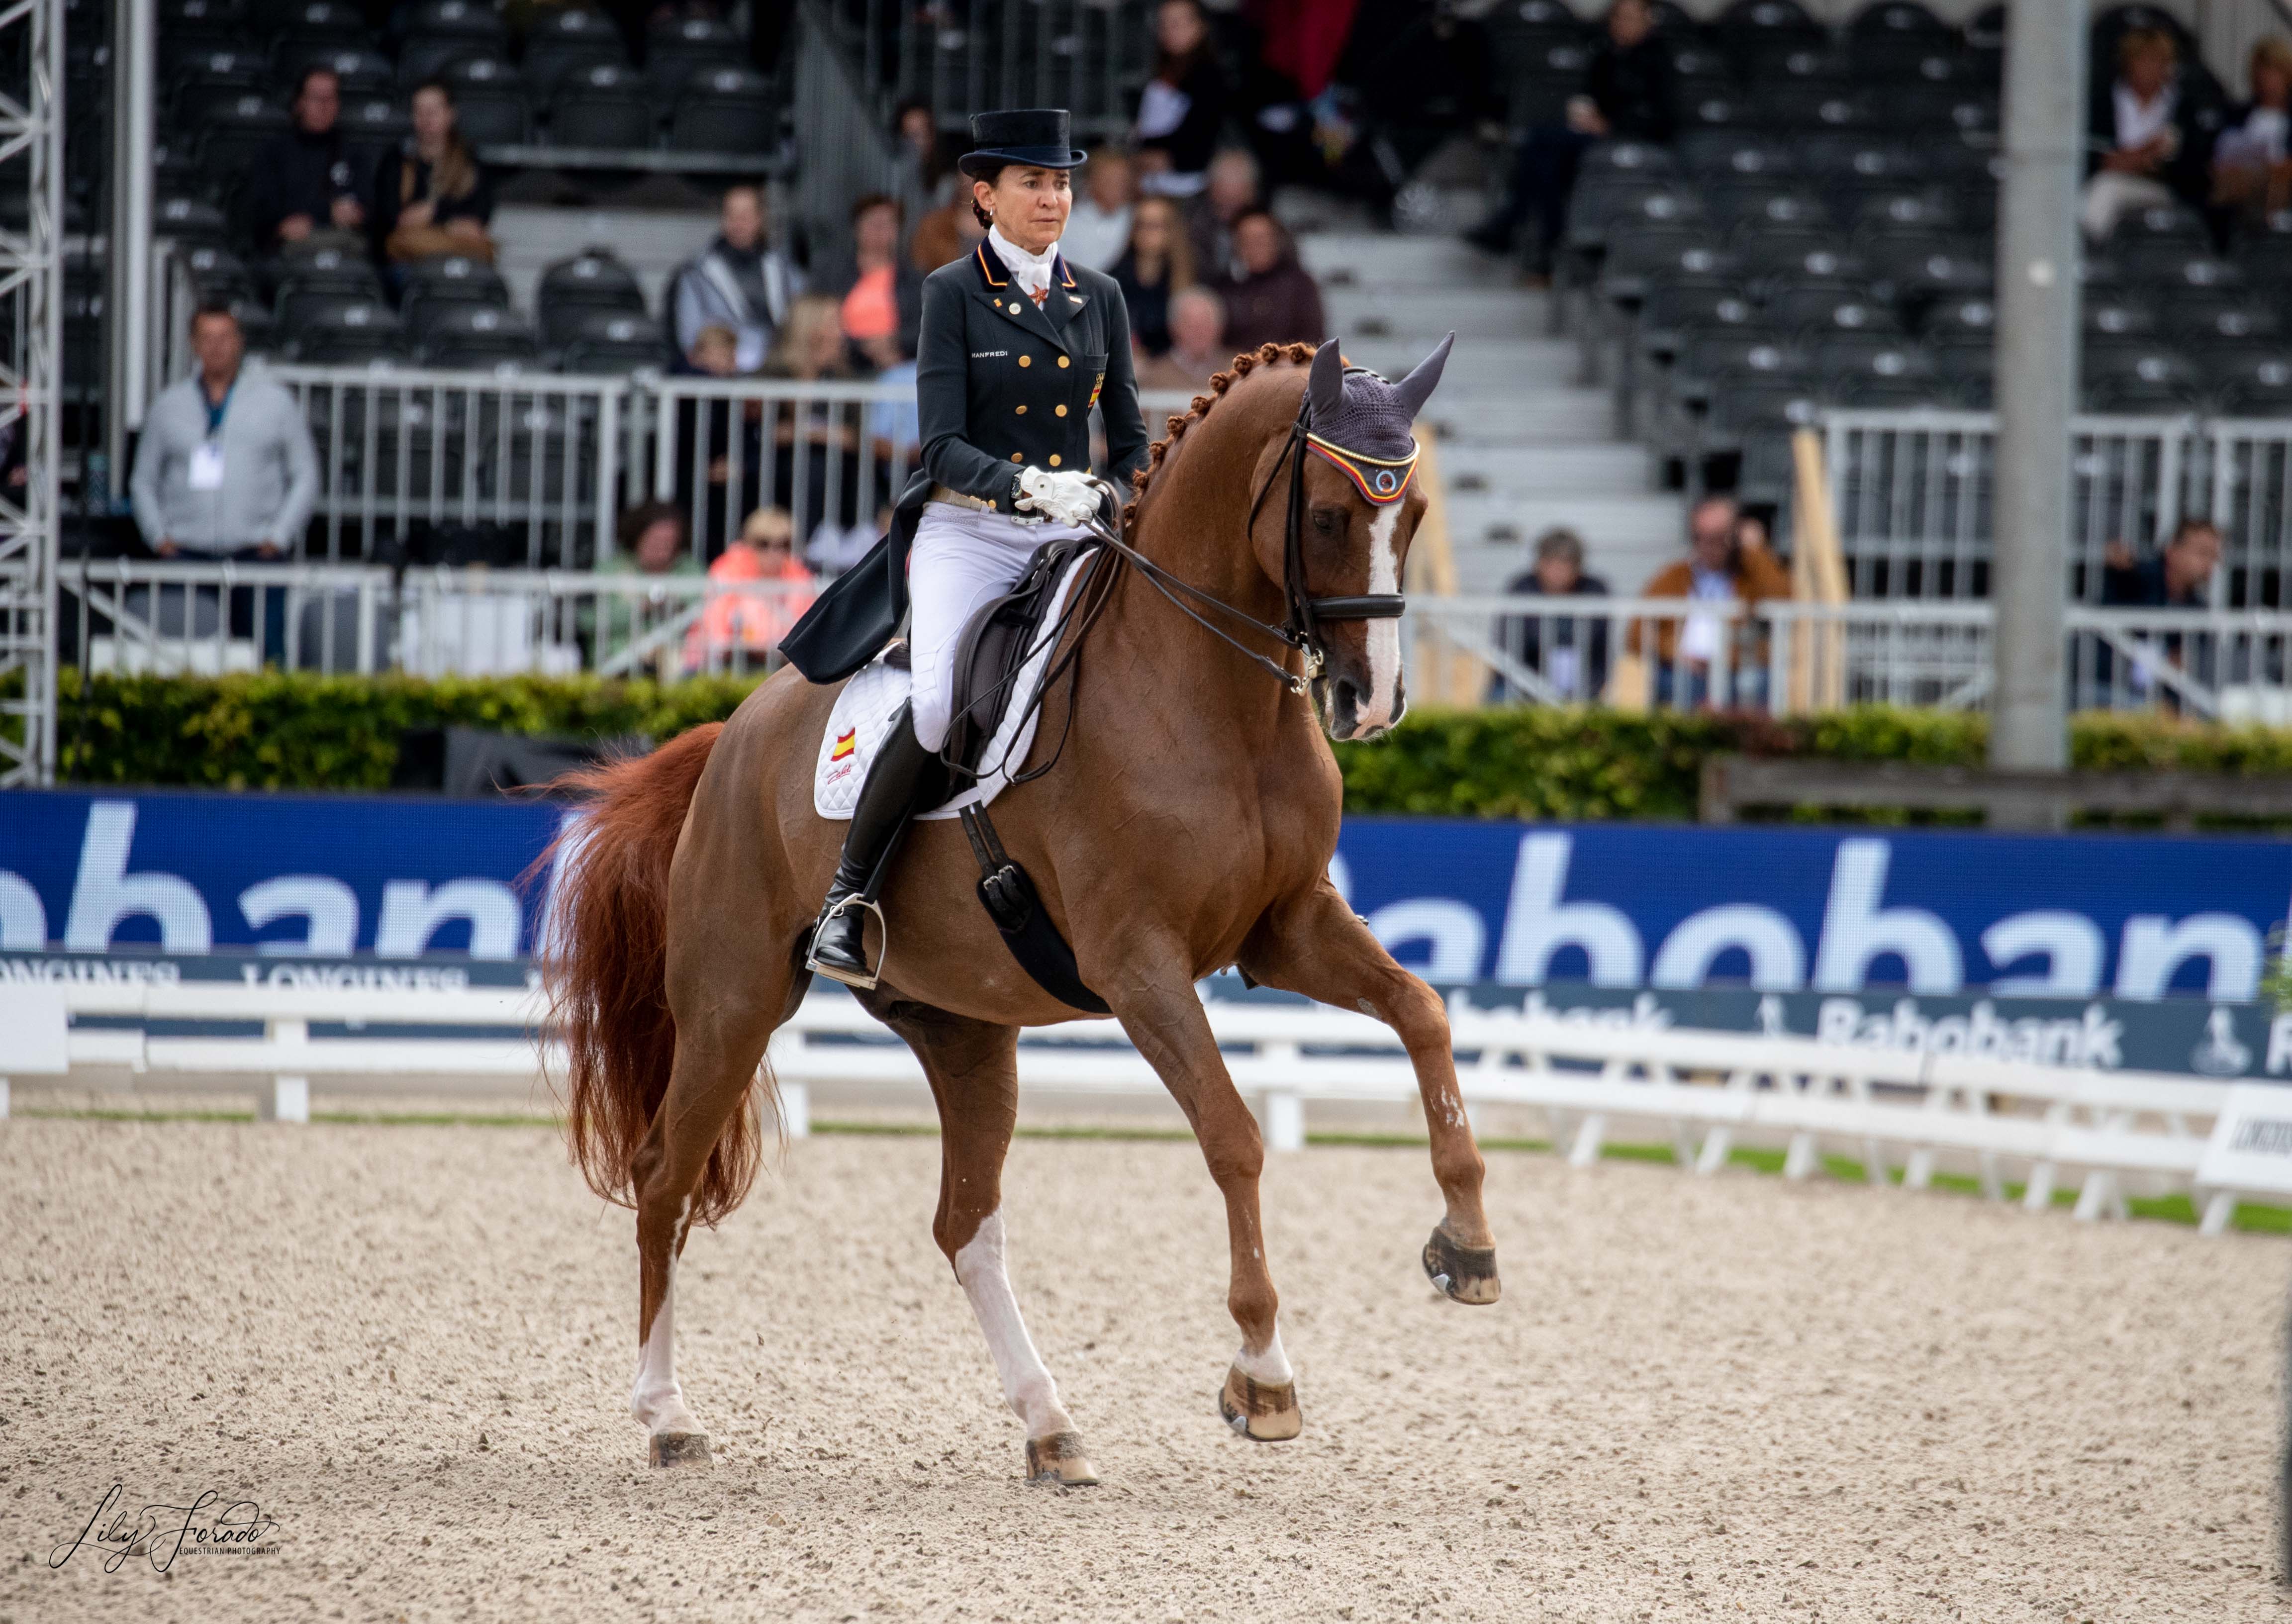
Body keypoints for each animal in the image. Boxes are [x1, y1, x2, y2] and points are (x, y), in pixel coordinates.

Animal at [543, 341, 1494, 1484]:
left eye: (1415, 514)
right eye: (1323, 517)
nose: (1370, 703)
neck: (1215, 697)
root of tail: (729, 733)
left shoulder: (1288, 929)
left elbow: (1424, 1015)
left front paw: (1466, 1247)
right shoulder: (1139, 966)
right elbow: (1233, 1136)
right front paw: (1262, 1375)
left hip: (963, 1027)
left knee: (965, 1225)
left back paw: (1050, 1426)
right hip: (732, 1002)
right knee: (663, 1179)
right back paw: (666, 1415)